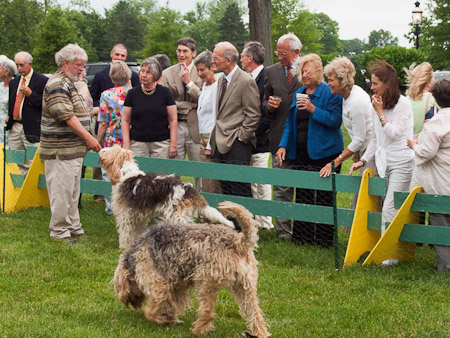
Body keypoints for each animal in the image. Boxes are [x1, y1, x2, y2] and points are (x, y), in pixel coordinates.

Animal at [99, 144, 236, 250]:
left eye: (110, 148)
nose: (101, 149)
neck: (125, 174)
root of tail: (187, 189)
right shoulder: (139, 216)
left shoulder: (125, 215)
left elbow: (124, 233)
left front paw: (122, 247)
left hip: (178, 217)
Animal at [112, 202, 270, 336]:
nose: (126, 302)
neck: (134, 257)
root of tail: (239, 241)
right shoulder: (176, 287)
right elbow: (168, 305)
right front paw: (170, 319)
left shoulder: (158, 286)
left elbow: (150, 311)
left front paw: (165, 320)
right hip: (245, 288)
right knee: (256, 315)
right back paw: (261, 333)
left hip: (205, 283)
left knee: (208, 313)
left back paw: (197, 330)